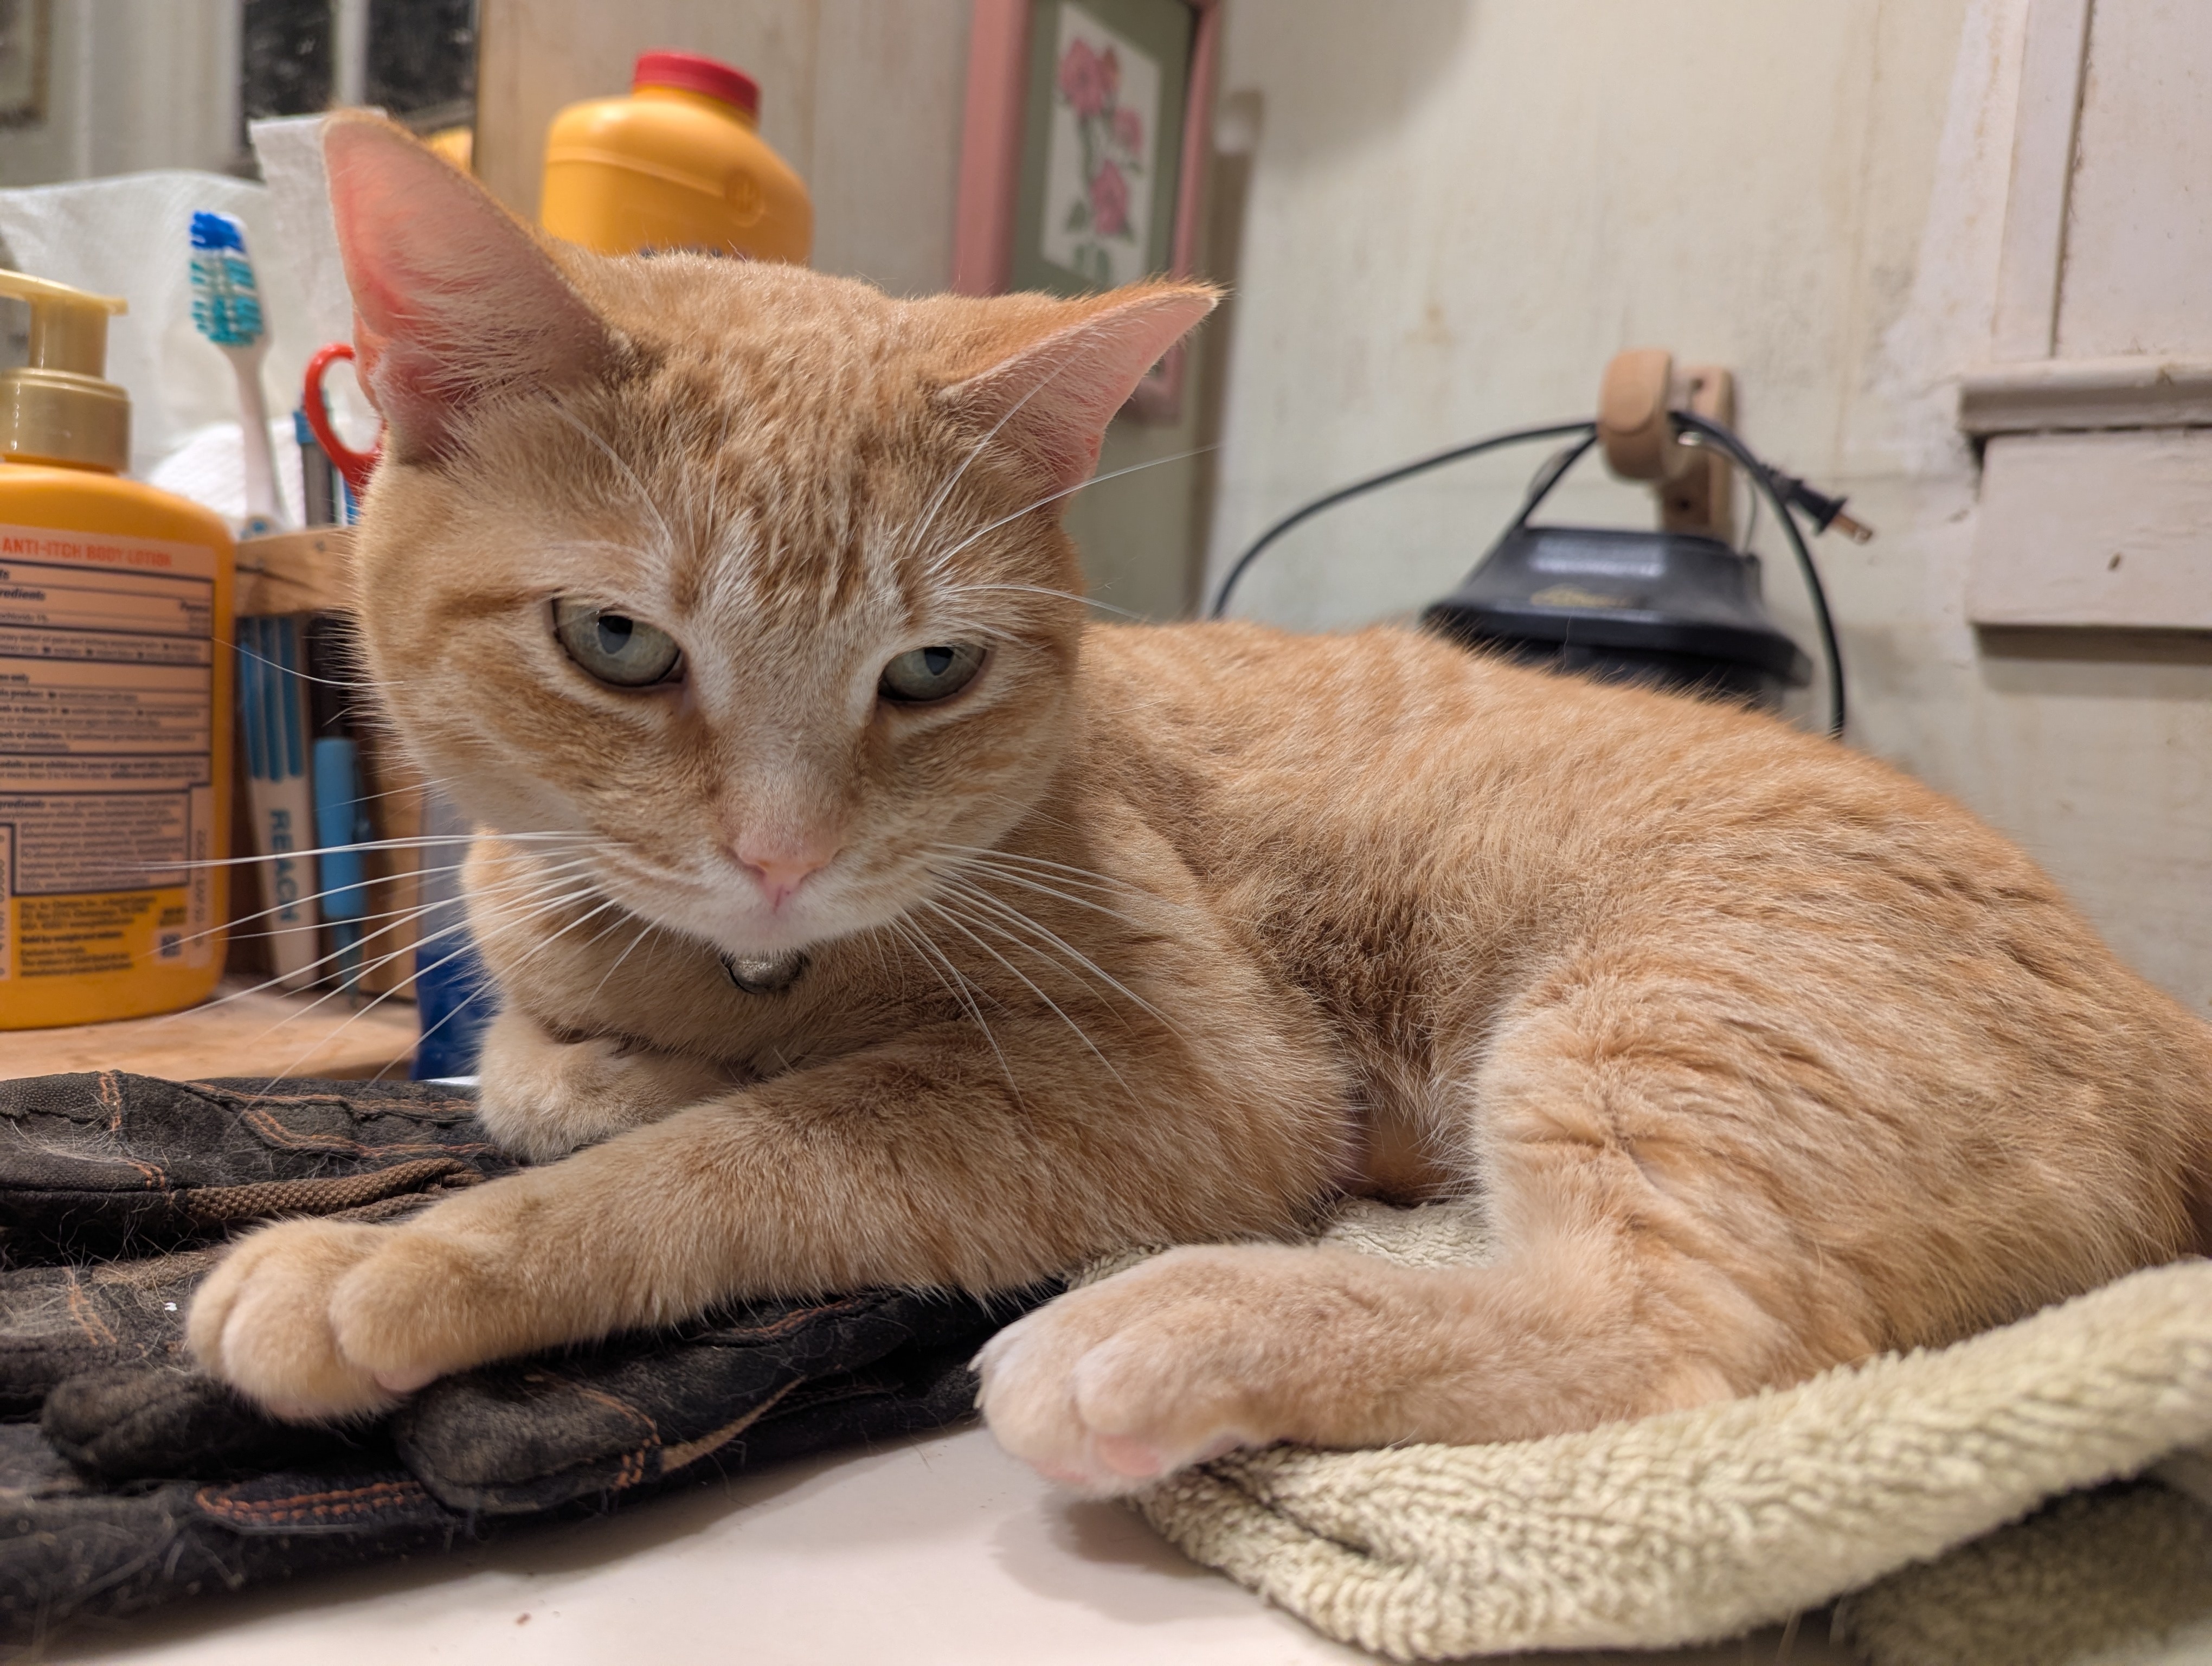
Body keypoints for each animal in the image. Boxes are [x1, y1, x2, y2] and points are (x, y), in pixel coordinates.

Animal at [189, 114, 2212, 1495]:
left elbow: (729, 1162)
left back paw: (1151, 1328)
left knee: (1689, 1354)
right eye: (617, 640)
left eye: (931, 671)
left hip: (1666, 1014)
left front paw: (397, 1264)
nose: (781, 857)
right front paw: (601, 1073)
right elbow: (545, 1075)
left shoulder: (1189, 1084)